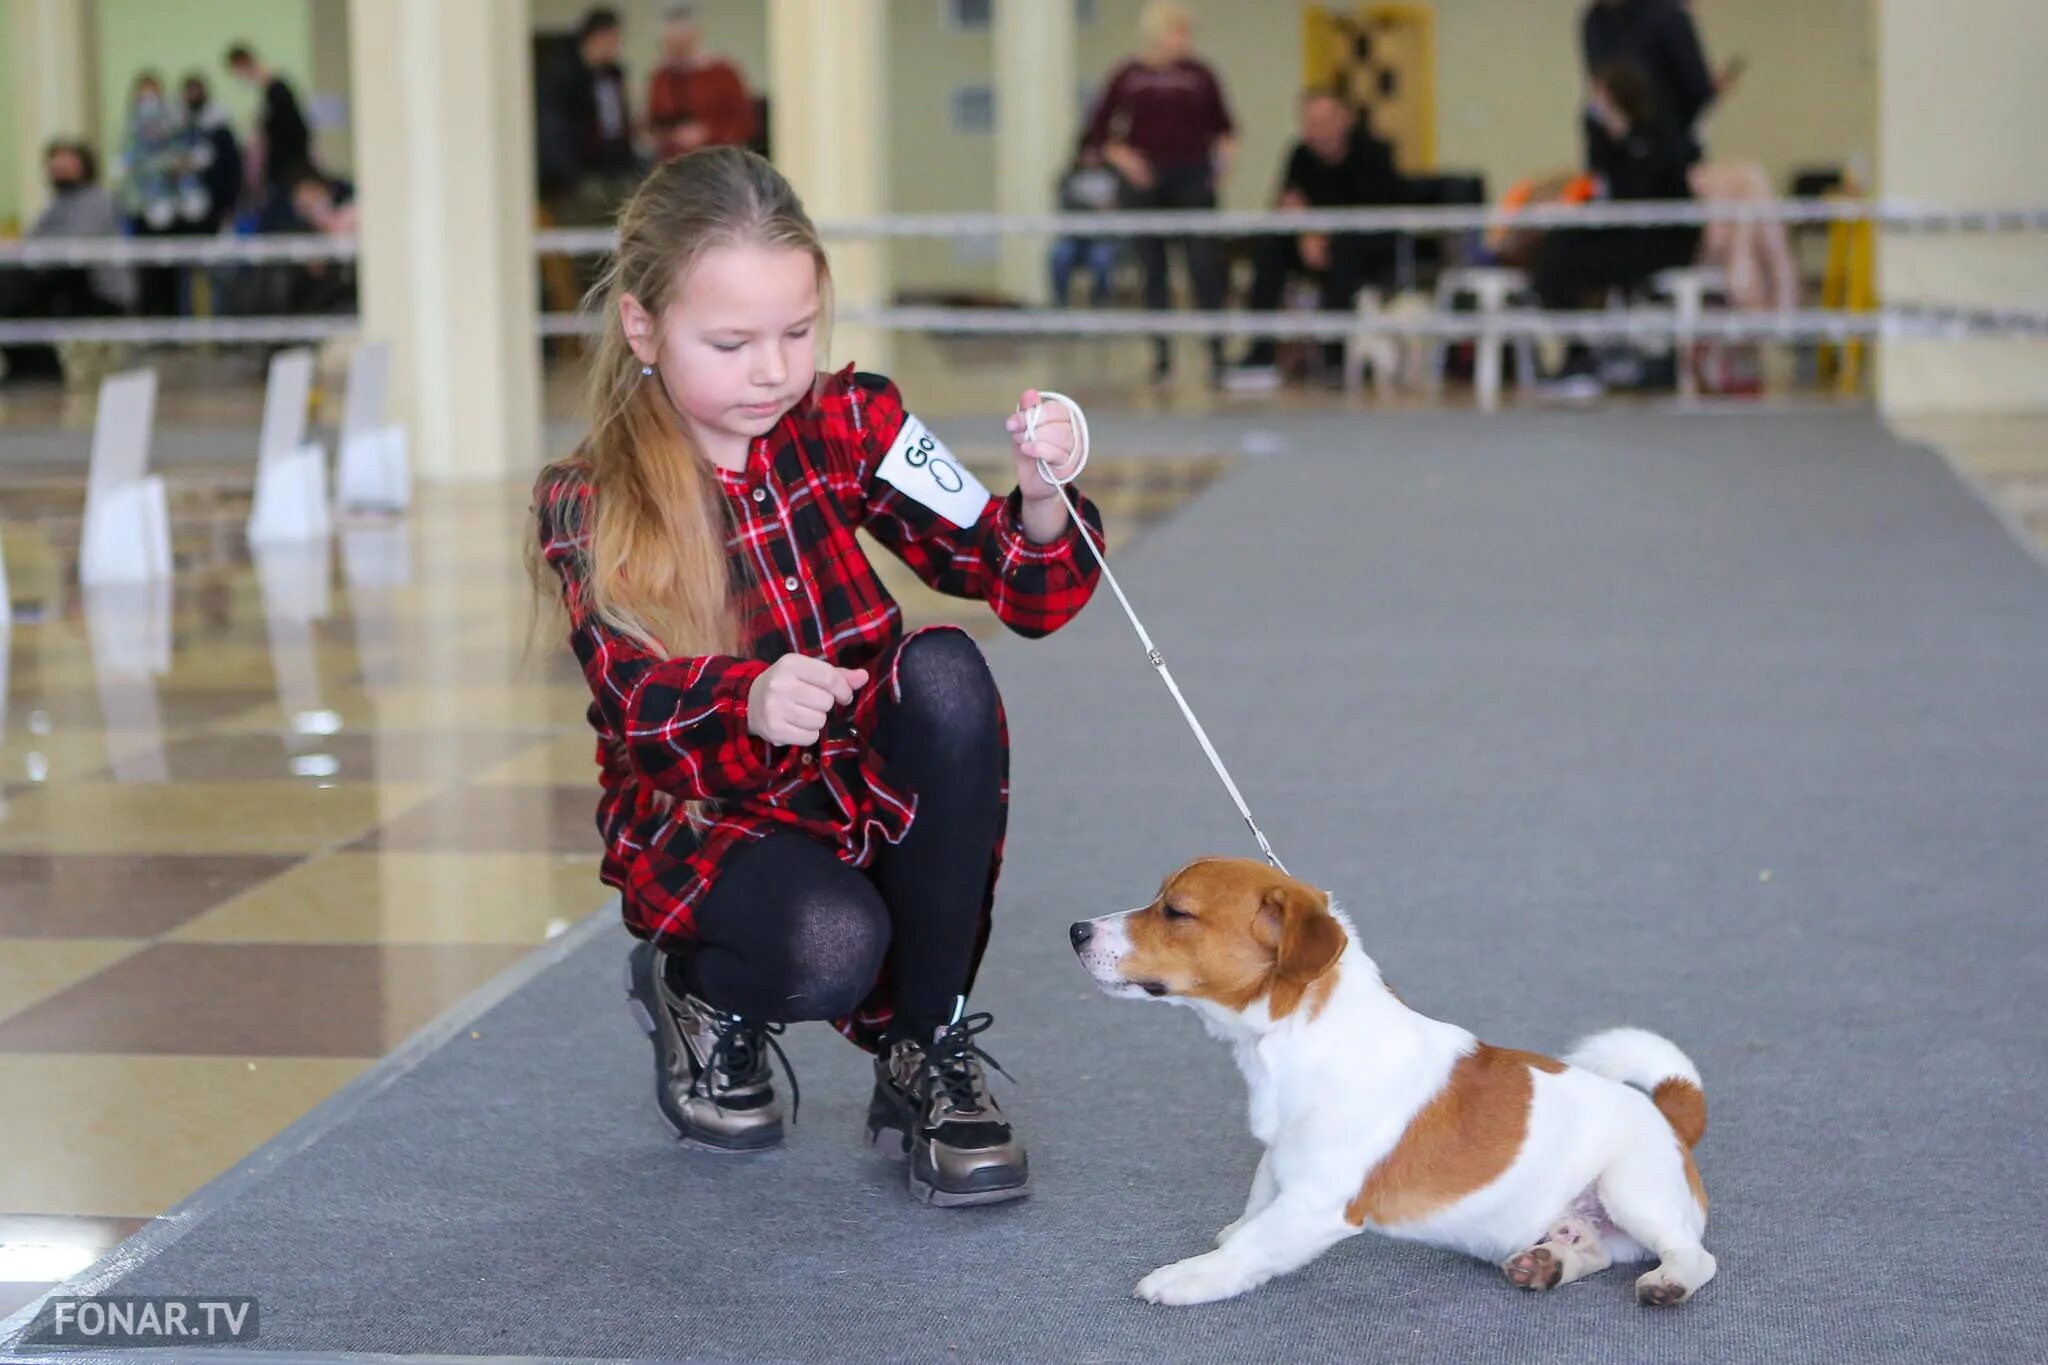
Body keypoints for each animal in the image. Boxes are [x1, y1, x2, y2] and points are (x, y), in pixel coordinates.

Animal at [1064, 859, 1720, 1309]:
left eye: (1175, 911)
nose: (1076, 930)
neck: (1295, 1040)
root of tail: (1673, 1116)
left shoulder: (1319, 1201)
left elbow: (1250, 1247)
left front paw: (1189, 1277)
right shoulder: (1281, 1159)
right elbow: (1254, 1208)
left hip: (1632, 1189)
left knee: (1694, 1254)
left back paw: (1669, 1282)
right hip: (1585, 1221)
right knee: (1591, 1249)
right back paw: (1547, 1264)